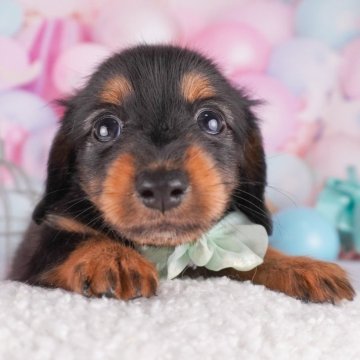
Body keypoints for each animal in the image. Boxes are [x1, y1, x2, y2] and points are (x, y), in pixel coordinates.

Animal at [9, 45, 354, 304]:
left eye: (211, 121)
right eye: (105, 128)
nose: (162, 187)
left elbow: (257, 254)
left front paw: (302, 266)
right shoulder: (34, 252)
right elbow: (74, 238)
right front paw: (112, 257)